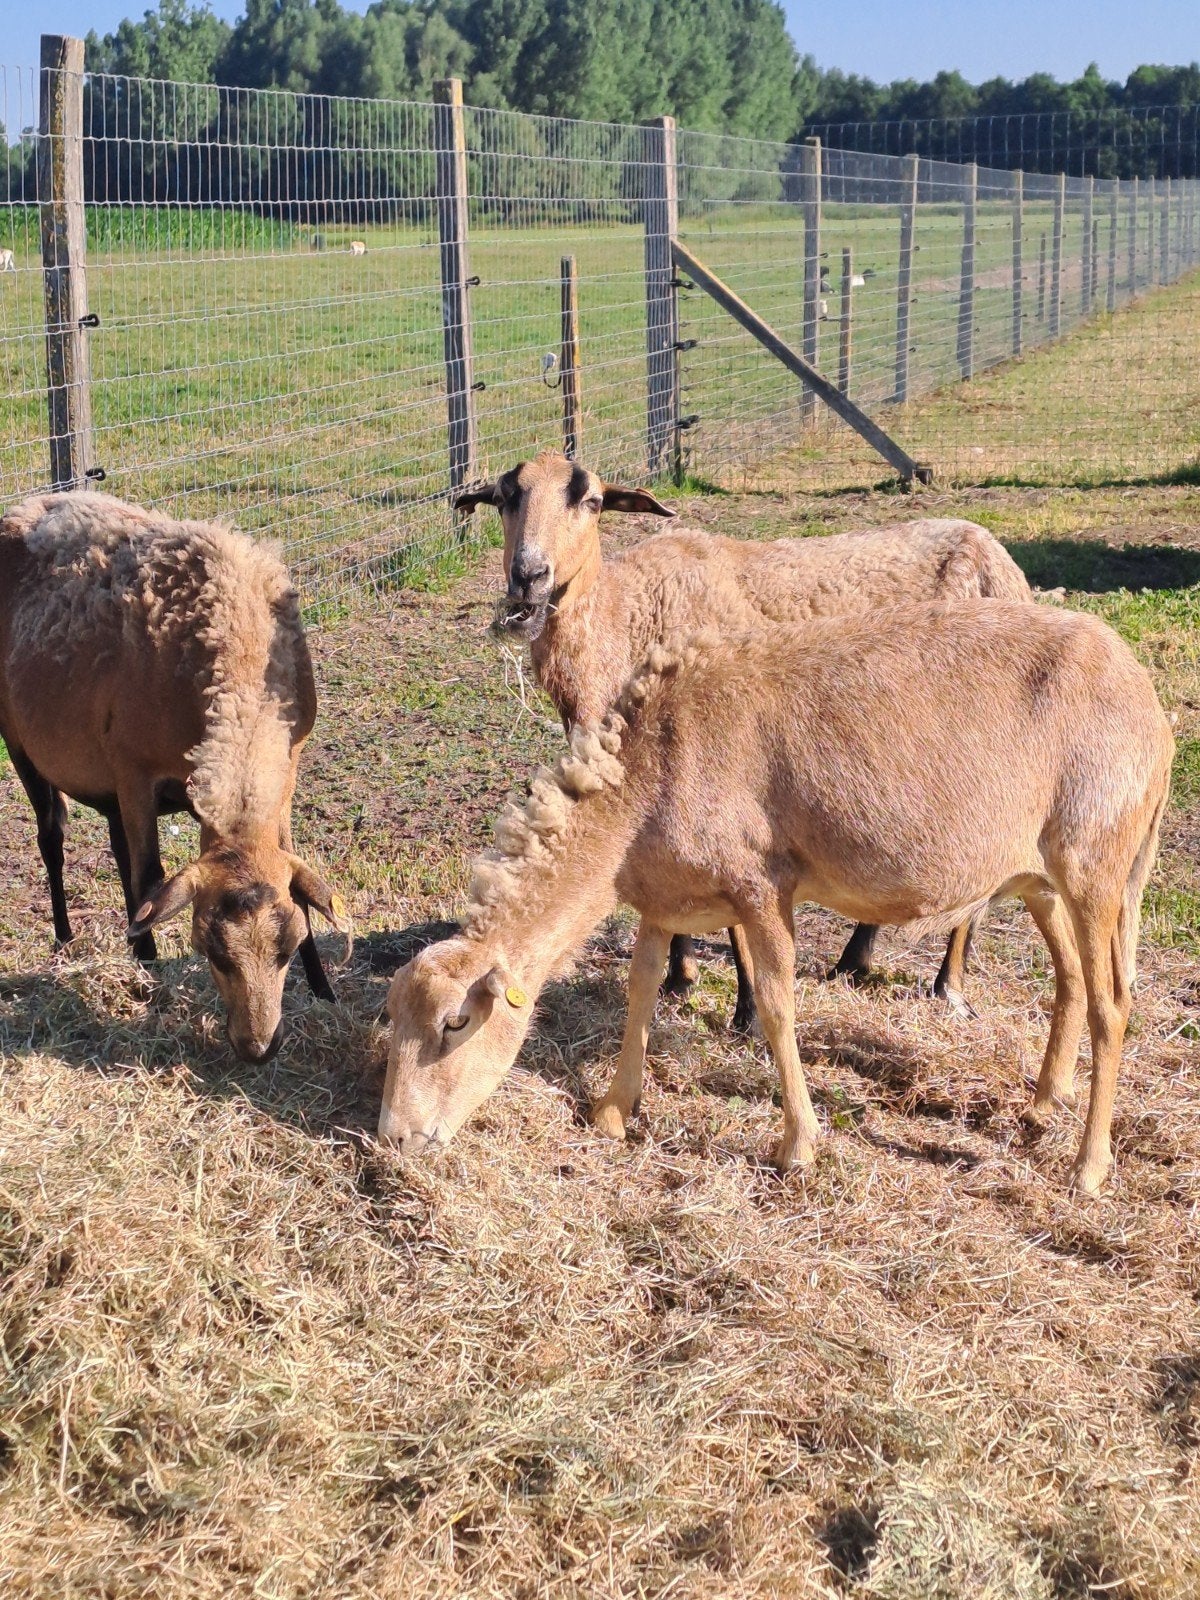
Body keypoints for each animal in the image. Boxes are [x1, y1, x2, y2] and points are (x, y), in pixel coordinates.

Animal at [0, 492, 349, 1061]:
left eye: (288, 948)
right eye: (210, 951)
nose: (258, 1047)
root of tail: (25, 504)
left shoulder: (287, 771)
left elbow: (298, 886)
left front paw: (323, 990)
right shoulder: (134, 772)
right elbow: (150, 876)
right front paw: (151, 981)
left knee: (117, 850)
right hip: (21, 739)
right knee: (53, 835)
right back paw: (70, 939)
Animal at [380, 603, 1173, 1195]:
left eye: (456, 1023)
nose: (394, 1139)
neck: (641, 787)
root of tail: (1151, 707)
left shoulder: (761, 884)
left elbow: (774, 1004)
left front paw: (798, 1146)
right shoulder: (663, 898)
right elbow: (641, 988)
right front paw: (611, 1109)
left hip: (1097, 859)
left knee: (1112, 1004)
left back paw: (1088, 1167)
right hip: (1041, 875)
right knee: (1071, 981)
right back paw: (1043, 1102)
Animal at [456, 452, 1032, 1028]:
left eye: (592, 501)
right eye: (504, 499)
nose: (528, 578)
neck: (628, 619)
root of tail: (996, 554)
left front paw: (748, 1009)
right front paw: (679, 977)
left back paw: (948, 986)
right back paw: (855, 959)